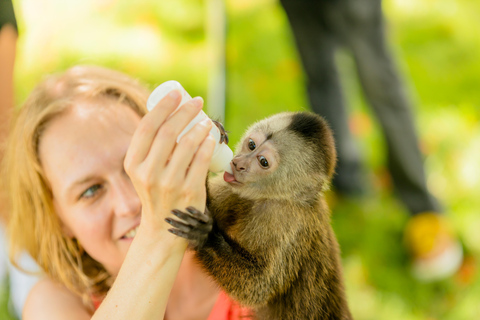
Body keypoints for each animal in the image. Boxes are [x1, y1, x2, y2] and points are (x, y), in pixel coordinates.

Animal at [167, 111, 350, 318]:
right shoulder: (232, 190)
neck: (272, 197)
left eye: (263, 162)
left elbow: (256, 288)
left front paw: (204, 235)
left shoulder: (287, 220)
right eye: (252, 145)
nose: (238, 164)